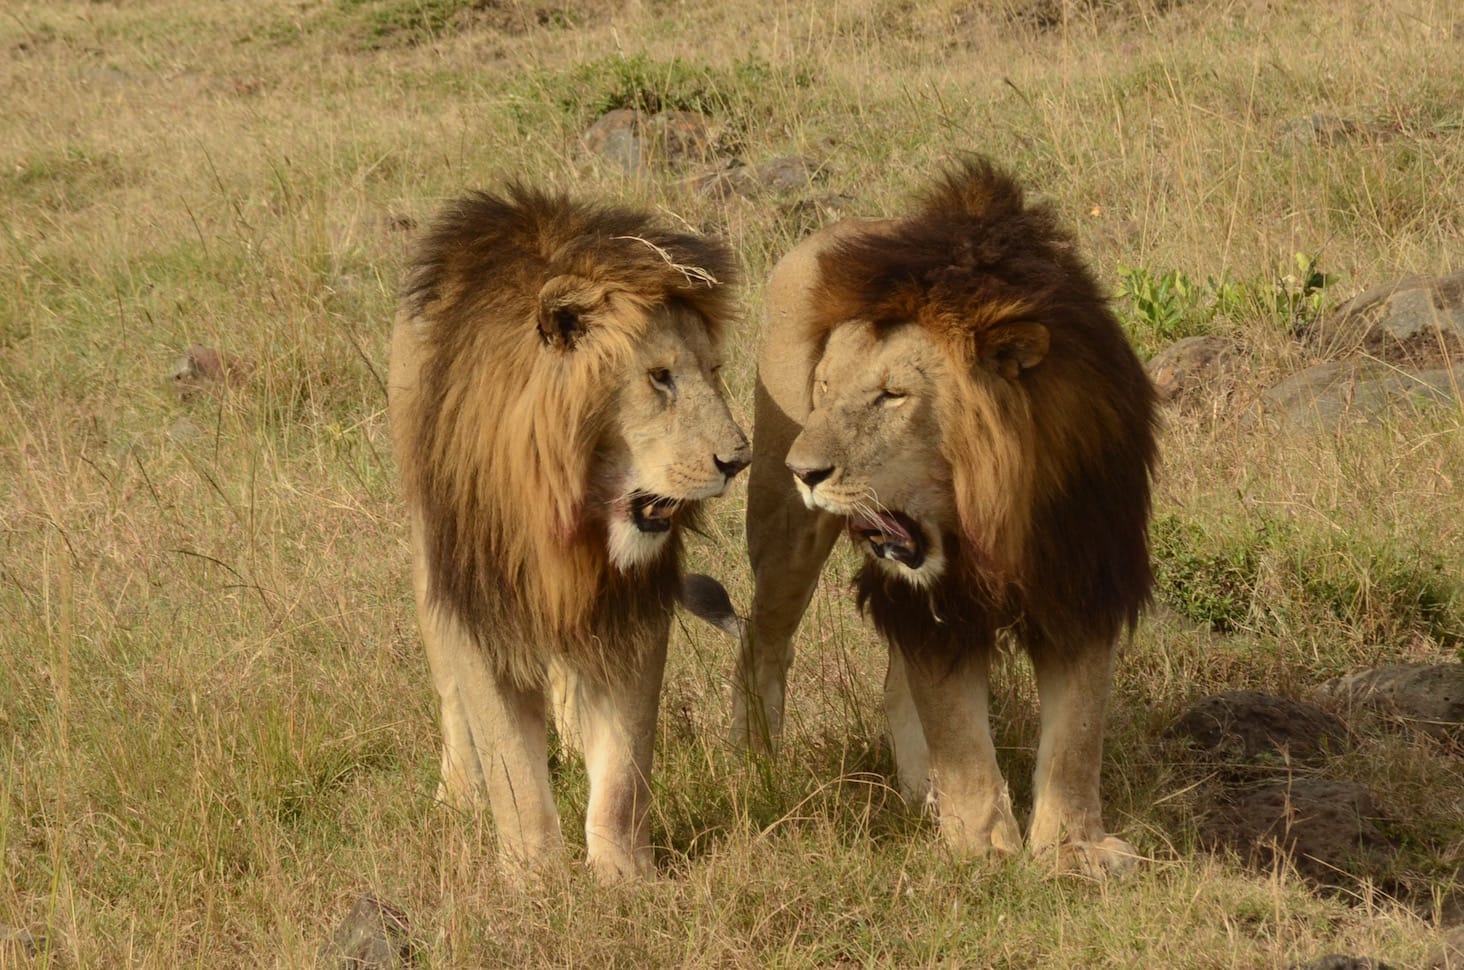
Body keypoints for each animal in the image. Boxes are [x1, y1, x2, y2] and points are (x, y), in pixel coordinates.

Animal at [389, 182, 749, 877]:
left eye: (715, 372)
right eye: (660, 377)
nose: (737, 461)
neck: (569, 510)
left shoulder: (632, 608)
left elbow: (626, 767)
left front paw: (623, 877)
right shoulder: (480, 604)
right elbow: (511, 767)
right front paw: (535, 878)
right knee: (450, 694)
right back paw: (458, 793)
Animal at [737, 157, 1159, 871]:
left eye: (892, 396)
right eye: (825, 389)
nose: (805, 470)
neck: (993, 512)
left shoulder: (1083, 581)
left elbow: (1077, 735)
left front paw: (1070, 851)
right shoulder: (935, 608)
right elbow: (958, 733)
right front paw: (984, 851)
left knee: (889, 683)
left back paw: (919, 797)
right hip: (783, 531)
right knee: (762, 639)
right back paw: (758, 765)